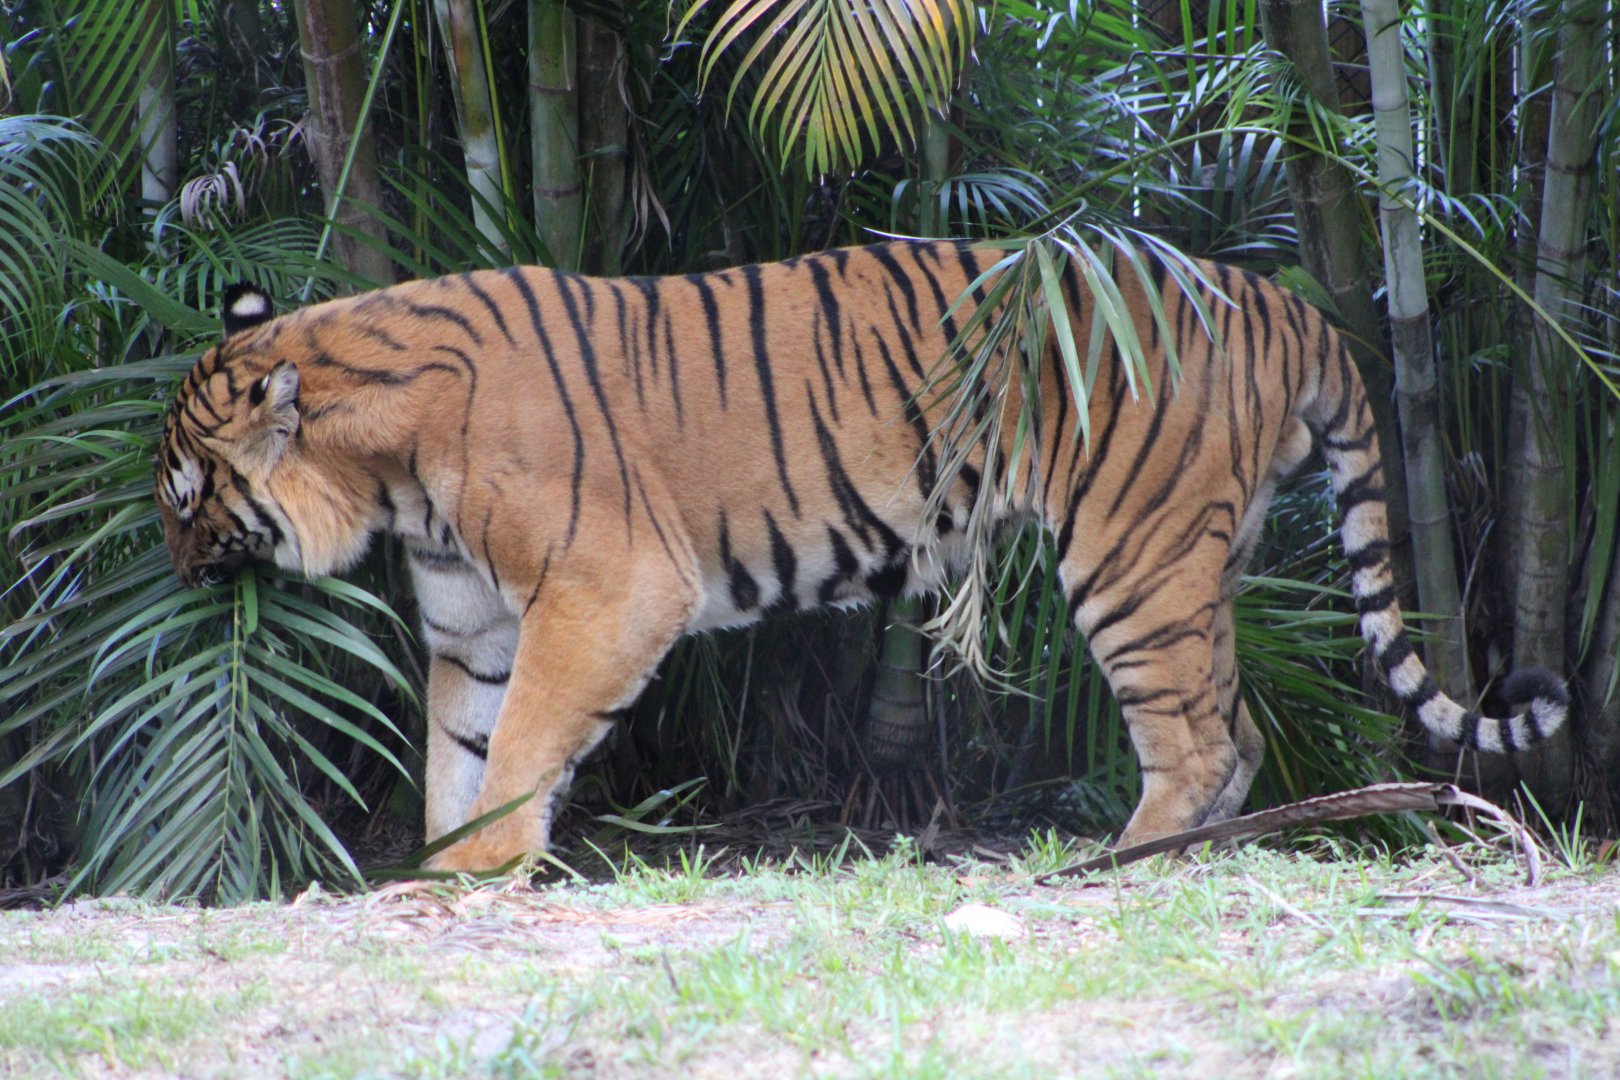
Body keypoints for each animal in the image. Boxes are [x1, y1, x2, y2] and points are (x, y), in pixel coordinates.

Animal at [154, 241, 1568, 872]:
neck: (388, 472)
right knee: (1242, 725)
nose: (168, 573)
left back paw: (1116, 862)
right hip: (1196, 563)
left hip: (1133, 556)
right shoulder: (474, 630)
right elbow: (460, 757)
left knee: (1201, 736)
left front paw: (488, 872)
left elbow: (521, 749)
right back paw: (1196, 853)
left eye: (183, 497)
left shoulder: (608, 592)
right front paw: (449, 875)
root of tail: (1278, 300)